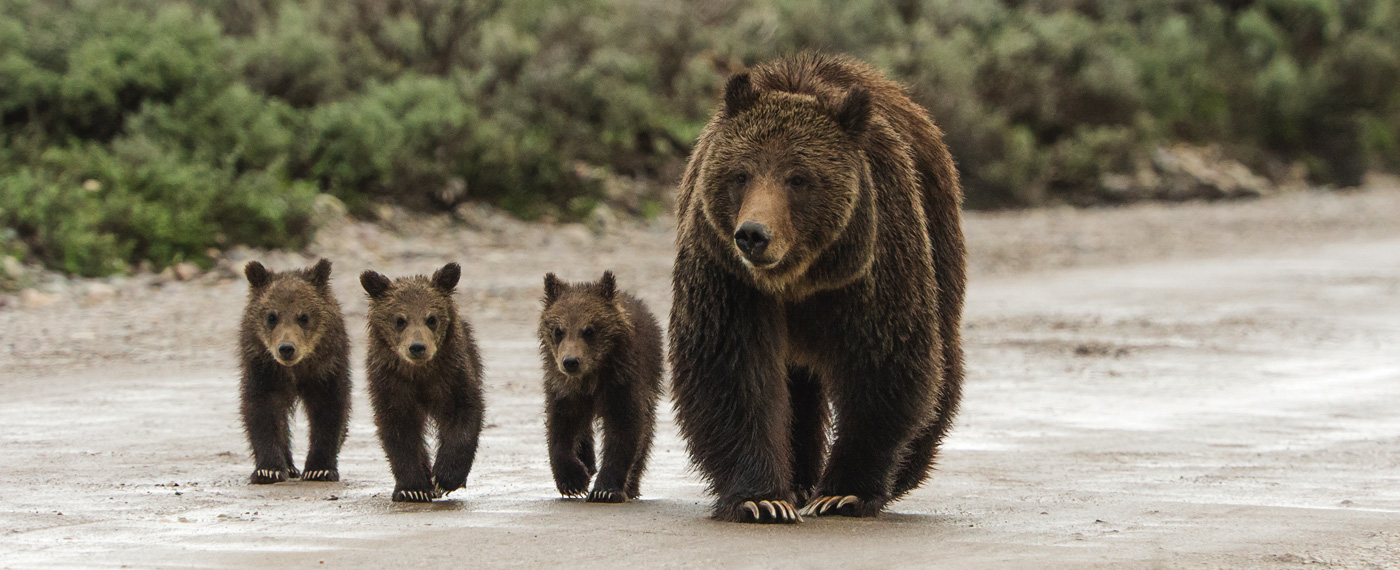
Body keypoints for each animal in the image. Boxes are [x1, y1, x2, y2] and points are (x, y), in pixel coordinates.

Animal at [239, 258, 351, 485]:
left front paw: (319, 469)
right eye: (271, 316)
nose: (286, 348)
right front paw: (268, 470)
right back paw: (289, 467)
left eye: (304, 316)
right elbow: (262, 410)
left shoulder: (326, 368)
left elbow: (329, 410)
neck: (296, 370)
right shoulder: (263, 368)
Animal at [361, 262, 485, 503]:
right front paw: (412, 488)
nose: (417, 347)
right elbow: (398, 431)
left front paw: (445, 477)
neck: (419, 374)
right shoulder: (391, 384)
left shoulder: (451, 376)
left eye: (432, 318)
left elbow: (465, 413)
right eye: (400, 320)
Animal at [537, 271, 663, 503]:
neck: (591, 377)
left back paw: (632, 485)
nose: (571, 361)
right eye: (558, 330)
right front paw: (573, 480)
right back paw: (588, 462)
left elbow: (624, 429)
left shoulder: (622, 382)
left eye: (589, 330)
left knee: (647, 429)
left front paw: (605, 490)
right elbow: (561, 426)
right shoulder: (563, 387)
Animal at [668, 52, 967, 523]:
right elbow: (731, 370)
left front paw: (845, 492)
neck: (798, 278)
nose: (753, 234)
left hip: (938, 234)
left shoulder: (870, 267)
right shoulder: (727, 275)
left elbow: (883, 364)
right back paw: (798, 479)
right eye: (741, 174)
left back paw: (905, 469)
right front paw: (761, 499)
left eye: (798, 178)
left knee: (942, 357)